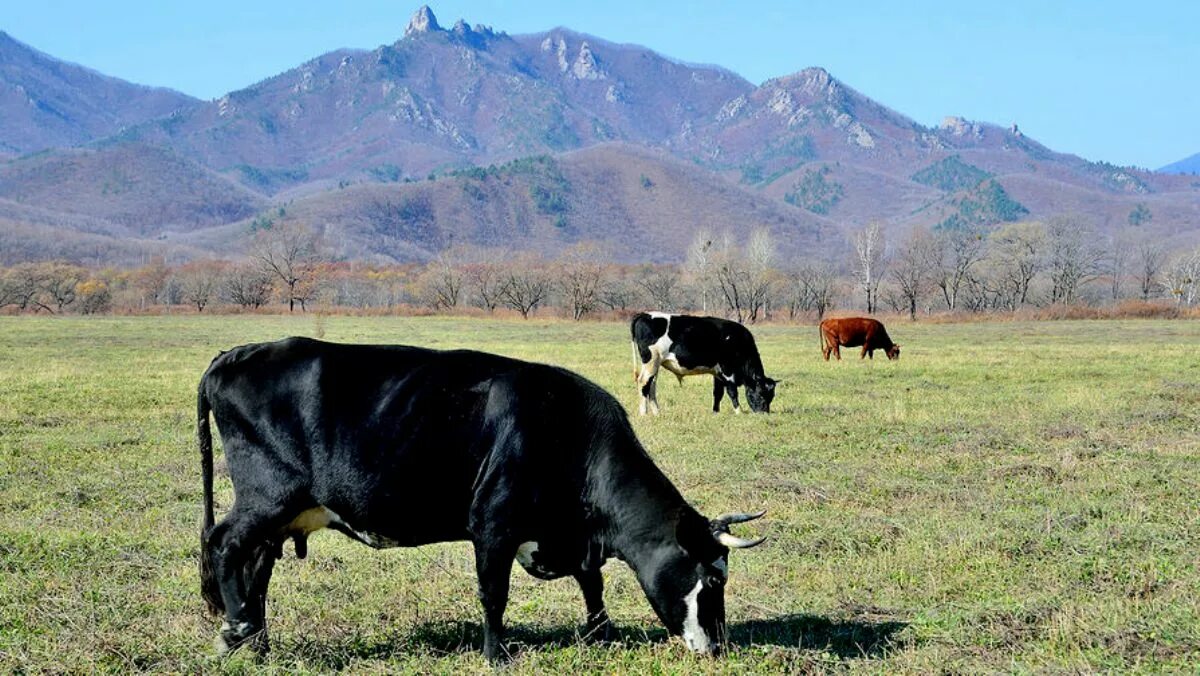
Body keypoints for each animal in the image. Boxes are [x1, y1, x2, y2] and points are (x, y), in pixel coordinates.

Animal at [195, 336, 758, 662]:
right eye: (713, 578)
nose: (720, 647)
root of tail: (233, 355)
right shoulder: (493, 525)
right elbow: (494, 594)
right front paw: (496, 654)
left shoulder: (568, 538)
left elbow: (592, 583)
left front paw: (601, 632)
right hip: (266, 497)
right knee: (223, 544)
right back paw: (236, 630)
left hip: (280, 517)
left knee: (255, 569)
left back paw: (259, 645)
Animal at [628, 314, 777, 417]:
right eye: (761, 394)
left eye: (771, 397)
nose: (764, 413)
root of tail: (644, 314)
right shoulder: (727, 371)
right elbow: (732, 392)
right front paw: (739, 411)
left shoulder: (717, 373)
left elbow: (718, 393)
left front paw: (716, 412)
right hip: (651, 361)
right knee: (643, 382)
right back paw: (644, 413)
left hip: (655, 364)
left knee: (651, 386)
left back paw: (657, 412)